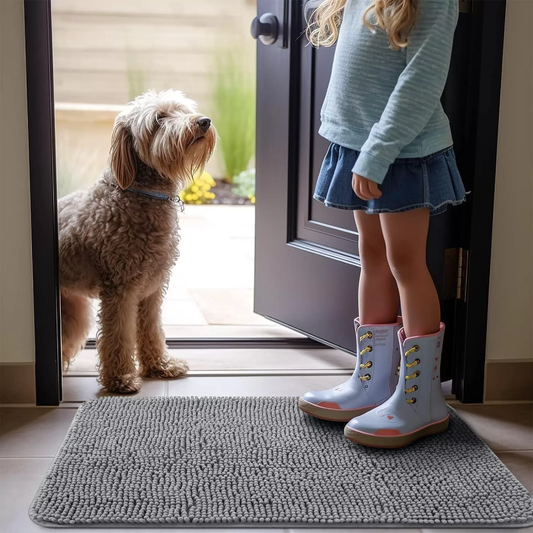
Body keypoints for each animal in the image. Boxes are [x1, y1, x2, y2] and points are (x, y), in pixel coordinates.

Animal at [58, 89, 216, 392]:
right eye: (159, 119)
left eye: (181, 110)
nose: (203, 121)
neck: (141, 194)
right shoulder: (120, 290)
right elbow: (118, 336)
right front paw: (120, 378)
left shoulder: (152, 289)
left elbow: (152, 329)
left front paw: (160, 365)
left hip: (72, 308)